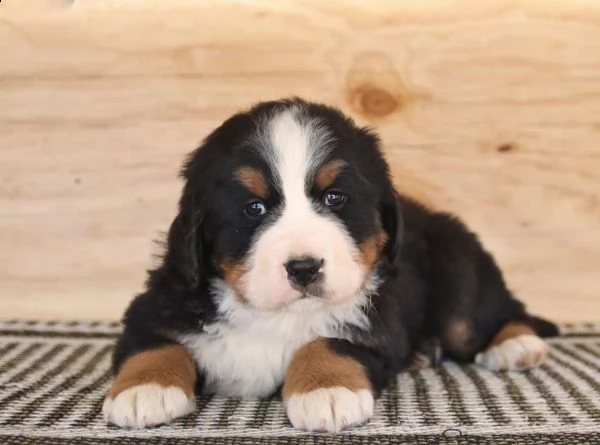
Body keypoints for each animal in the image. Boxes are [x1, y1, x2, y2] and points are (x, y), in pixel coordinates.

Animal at [102, 97, 556, 430]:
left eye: (335, 198)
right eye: (253, 208)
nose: (304, 268)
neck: (274, 317)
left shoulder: (376, 320)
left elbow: (329, 341)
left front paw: (325, 390)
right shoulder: (162, 299)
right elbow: (154, 342)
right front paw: (145, 390)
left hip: (459, 274)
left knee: (489, 314)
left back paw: (516, 344)